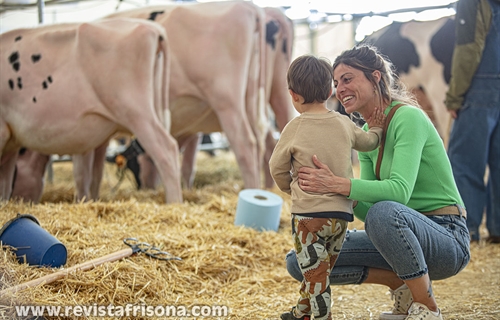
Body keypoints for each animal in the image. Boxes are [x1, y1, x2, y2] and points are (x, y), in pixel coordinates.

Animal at [0, 18, 184, 202]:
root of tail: (153, 27)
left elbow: (81, 175)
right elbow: (91, 175)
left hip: (137, 113)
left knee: (166, 150)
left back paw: (174, 203)